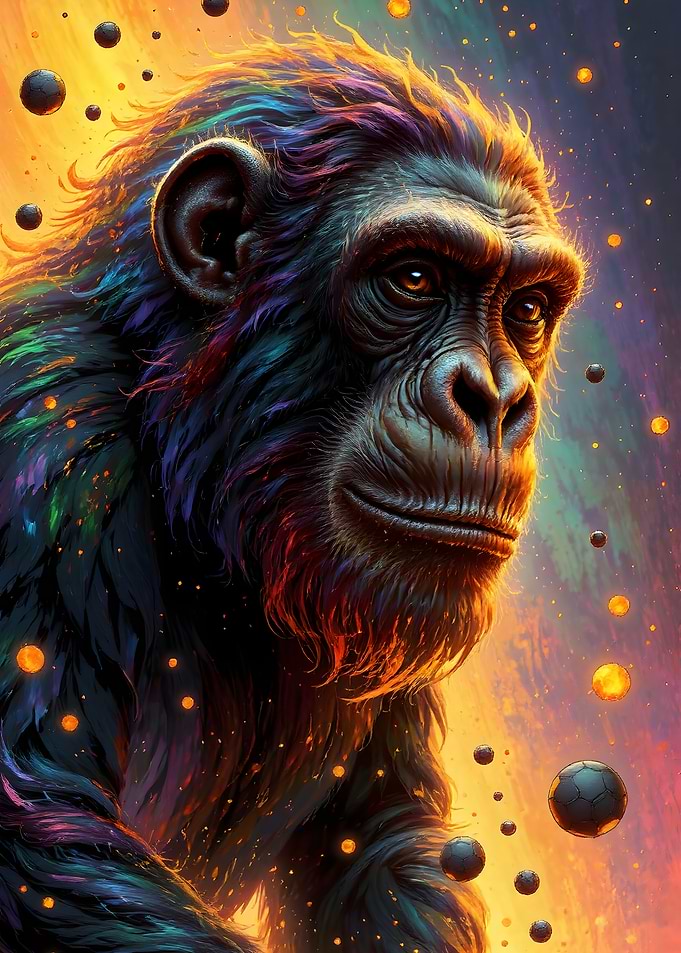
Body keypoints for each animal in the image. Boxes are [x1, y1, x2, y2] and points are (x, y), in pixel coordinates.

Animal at [0, 28, 584, 953]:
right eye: (413, 278)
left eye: (525, 309)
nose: (493, 396)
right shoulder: (50, 455)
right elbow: (38, 842)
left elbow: (378, 852)